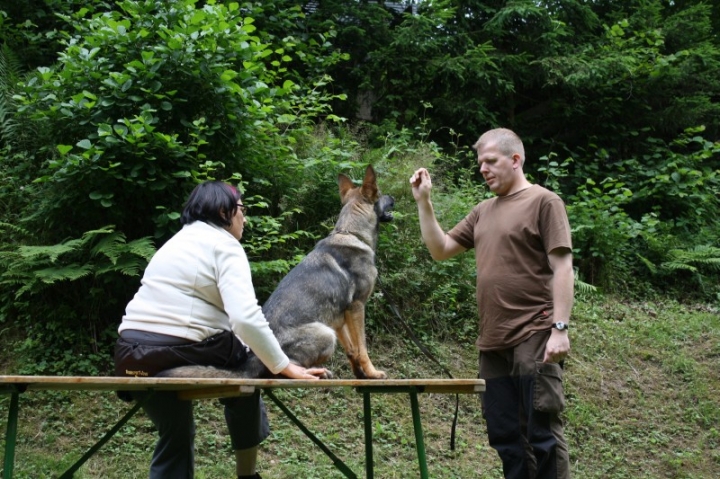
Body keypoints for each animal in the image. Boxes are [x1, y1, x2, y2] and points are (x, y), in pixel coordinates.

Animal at [159, 167, 394, 380]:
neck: (352, 233)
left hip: (329, 329)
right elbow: (362, 347)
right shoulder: (357, 308)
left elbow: (352, 349)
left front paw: (360, 374)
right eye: (381, 193)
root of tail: (255, 358)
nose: (393, 197)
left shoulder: (341, 318)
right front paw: (372, 373)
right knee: (282, 369)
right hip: (326, 334)